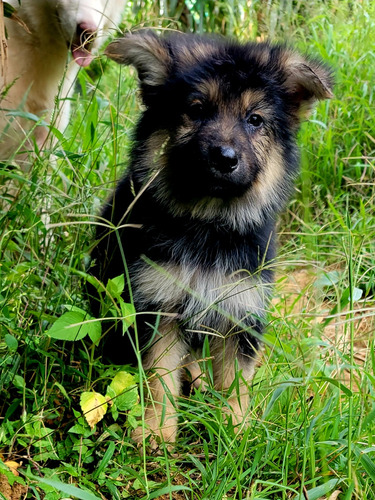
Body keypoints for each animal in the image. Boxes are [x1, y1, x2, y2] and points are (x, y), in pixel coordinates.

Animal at [89, 31, 334, 446]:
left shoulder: (241, 309)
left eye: (255, 120)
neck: (209, 222)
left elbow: (237, 381)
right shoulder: (159, 304)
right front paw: (156, 433)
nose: (224, 157)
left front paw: (236, 432)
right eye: (197, 109)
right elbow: (159, 376)